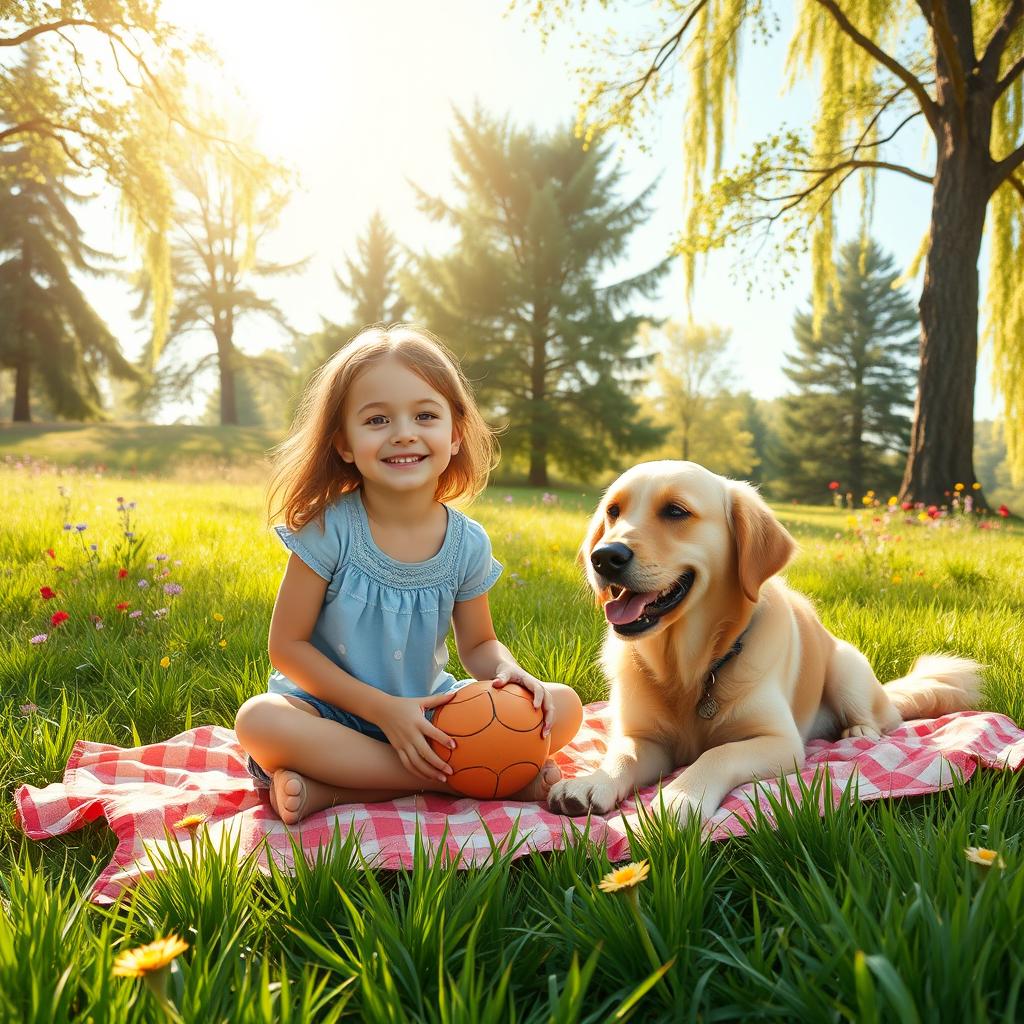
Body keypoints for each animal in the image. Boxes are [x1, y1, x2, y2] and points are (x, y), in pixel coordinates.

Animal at [548, 462, 978, 823]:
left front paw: (679, 798)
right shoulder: (645, 738)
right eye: (613, 512)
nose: (604, 557)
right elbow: (622, 754)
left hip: (846, 667)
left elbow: (717, 753)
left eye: (675, 511)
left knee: (880, 720)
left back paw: (859, 731)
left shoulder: (780, 742)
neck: (690, 668)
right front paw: (591, 781)